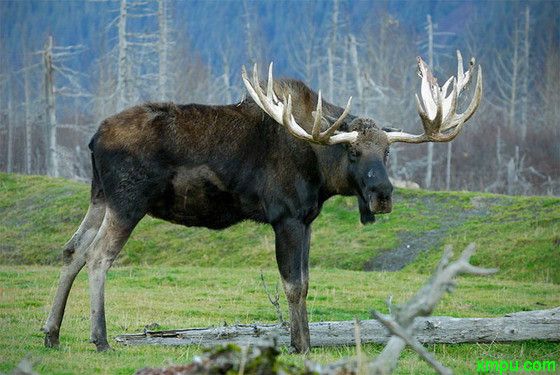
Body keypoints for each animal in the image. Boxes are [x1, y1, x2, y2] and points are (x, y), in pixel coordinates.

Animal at [43, 51, 482, 354]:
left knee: (72, 250)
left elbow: (306, 282)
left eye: (387, 153)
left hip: (100, 197)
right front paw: (298, 345)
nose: (383, 196)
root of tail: (93, 139)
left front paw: (306, 342)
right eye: (354, 153)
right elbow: (292, 284)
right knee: (98, 256)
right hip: (128, 201)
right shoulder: (285, 217)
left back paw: (51, 333)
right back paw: (99, 338)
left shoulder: (307, 220)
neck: (319, 167)